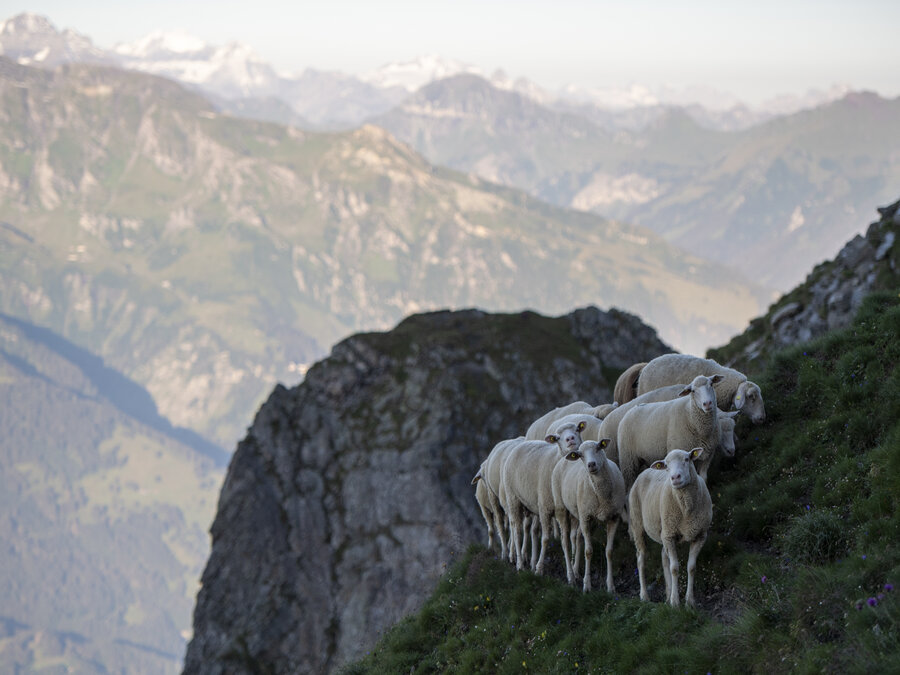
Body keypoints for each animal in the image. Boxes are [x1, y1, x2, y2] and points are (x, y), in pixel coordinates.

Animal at [548, 438, 624, 592]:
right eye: (581, 455)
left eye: (598, 448)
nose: (591, 464)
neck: (603, 495)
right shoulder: (586, 517)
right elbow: (588, 551)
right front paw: (587, 586)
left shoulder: (614, 517)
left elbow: (609, 551)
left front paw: (611, 586)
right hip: (562, 508)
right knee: (565, 541)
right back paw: (571, 576)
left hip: (580, 514)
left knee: (577, 538)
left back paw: (576, 571)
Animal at [628, 448, 712, 608]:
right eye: (666, 466)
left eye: (687, 459)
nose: (675, 477)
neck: (686, 509)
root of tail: (646, 470)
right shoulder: (670, 535)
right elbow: (675, 568)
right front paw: (675, 602)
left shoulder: (700, 535)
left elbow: (691, 567)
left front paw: (689, 601)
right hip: (638, 524)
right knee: (641, 559)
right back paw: (644, 596)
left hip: (664, 531)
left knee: (663, 557)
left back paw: (667, 593)